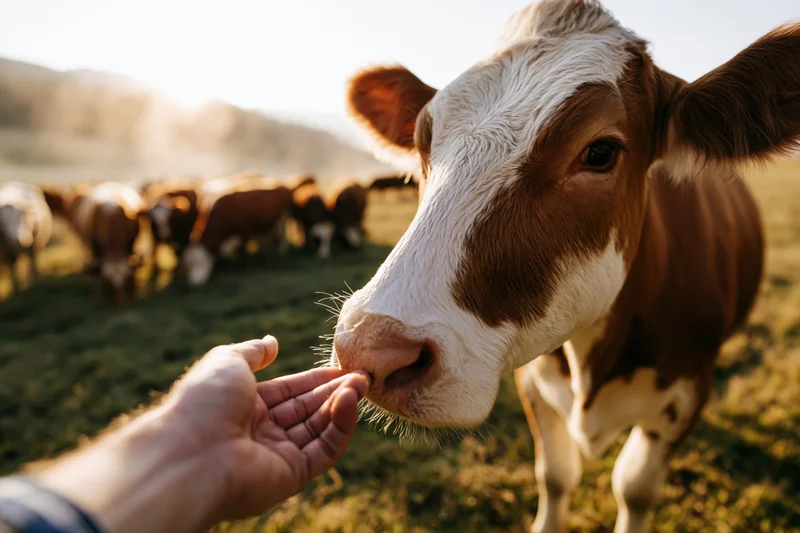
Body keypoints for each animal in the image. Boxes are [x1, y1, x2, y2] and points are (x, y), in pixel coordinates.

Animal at [331, 2, 799, 532]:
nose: (369, 346)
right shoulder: (534, 385)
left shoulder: (687, 392)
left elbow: (634, 487)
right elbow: (556, 475)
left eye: (600, 152)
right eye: (422, 141)